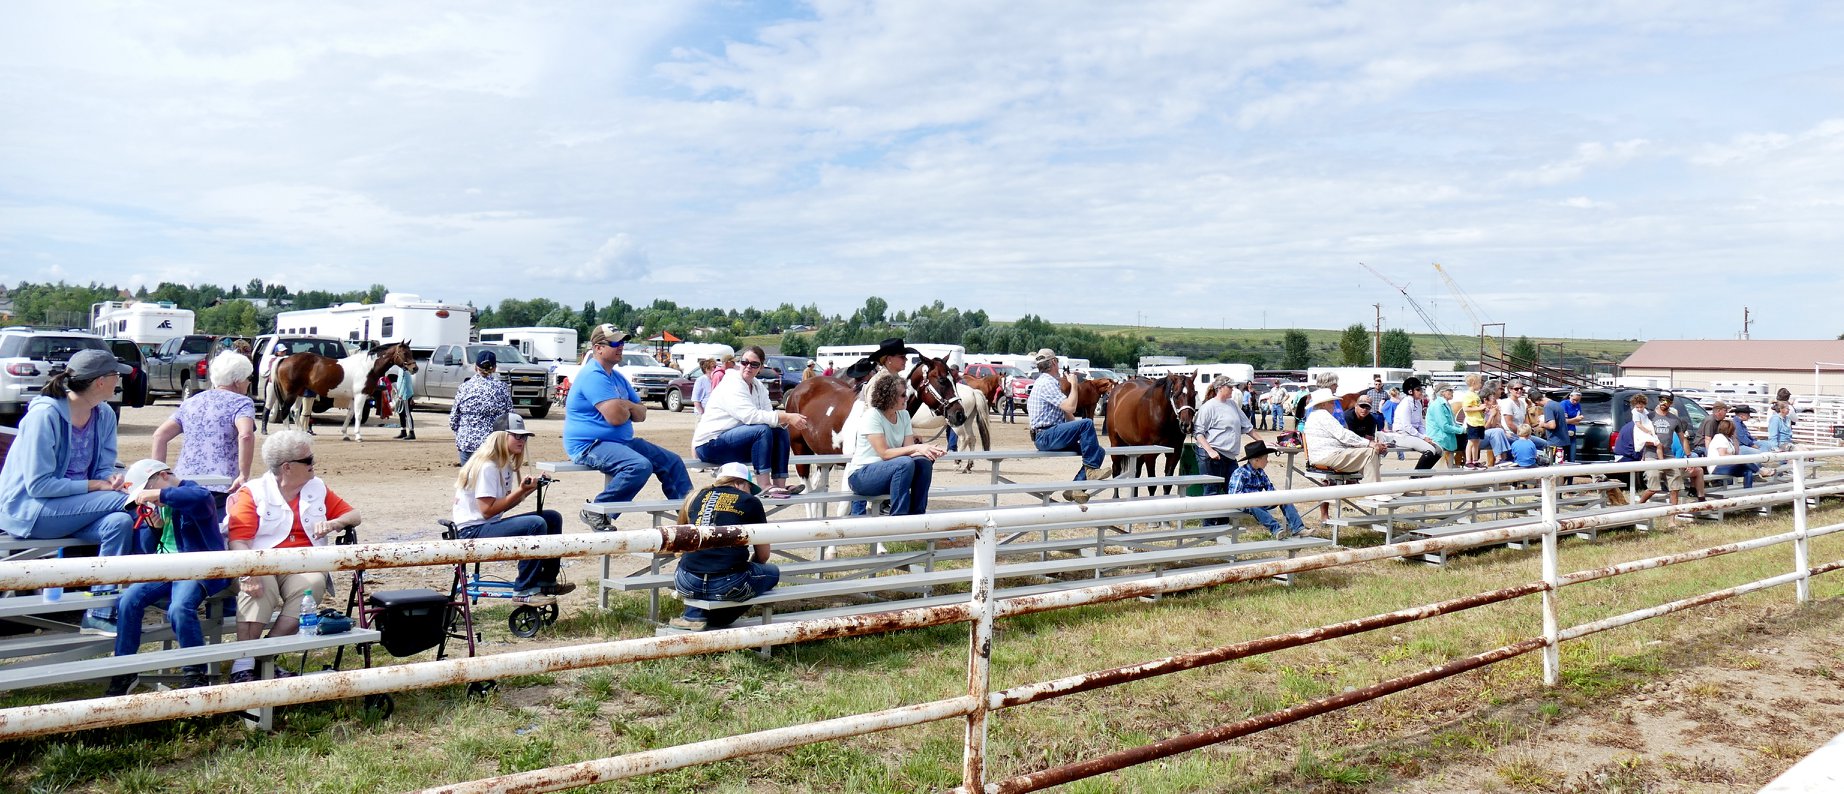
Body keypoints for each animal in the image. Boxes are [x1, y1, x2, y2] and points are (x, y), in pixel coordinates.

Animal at [265, 340, 416, 443]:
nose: (415, 368)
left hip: (299, 393)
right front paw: (358, 436)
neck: (367, 367)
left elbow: (350, 415)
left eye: (411, 352)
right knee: (285, 410)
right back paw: (288, 434)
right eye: (404, 353)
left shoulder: (354, 397)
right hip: (291, 393)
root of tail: (284, 359)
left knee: (295, 411)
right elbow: (358, 415)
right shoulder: (361, 395)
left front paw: (345, 434)